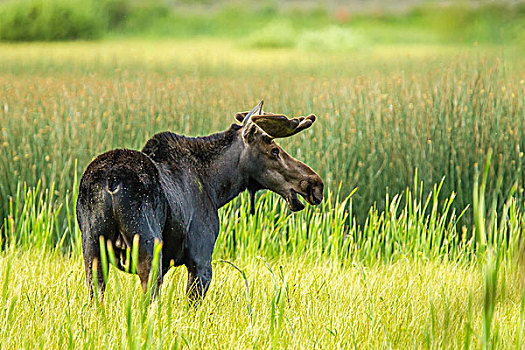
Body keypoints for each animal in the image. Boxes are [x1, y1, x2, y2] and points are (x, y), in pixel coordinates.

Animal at [77, 101, 324, 304]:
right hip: (147, 244)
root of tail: (112, 180)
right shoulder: (201, 259)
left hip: (92, 248)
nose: (315, 184)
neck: (217, 186)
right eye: (274, 151)